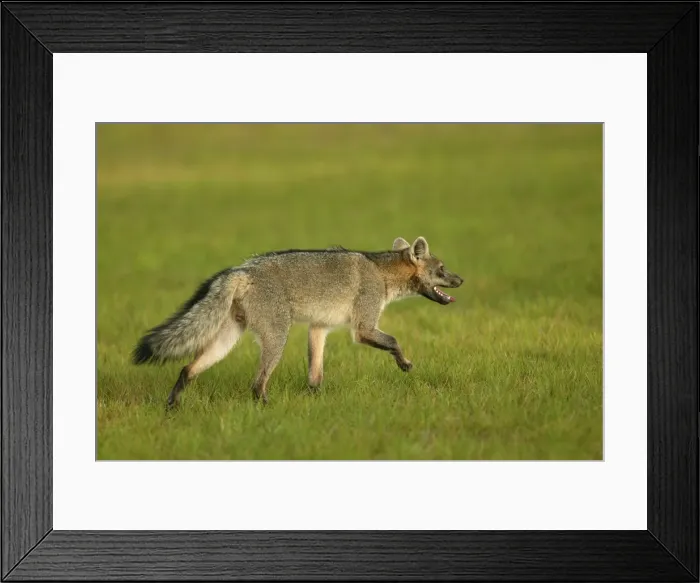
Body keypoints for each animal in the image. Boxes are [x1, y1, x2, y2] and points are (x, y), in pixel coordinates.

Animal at [132, 236, 463, 408]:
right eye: (442, 269)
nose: (461, 280)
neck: (381, 273)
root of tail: (242, 269)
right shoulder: (363, 328)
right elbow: (393, 340)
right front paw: (404, 363)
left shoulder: (319, 328)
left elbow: (315, 374)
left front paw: (316, 400)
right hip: (277, 338)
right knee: (256, 384)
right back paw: (266, 409)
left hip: (227, 341)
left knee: (187, 369)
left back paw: (172, 406)